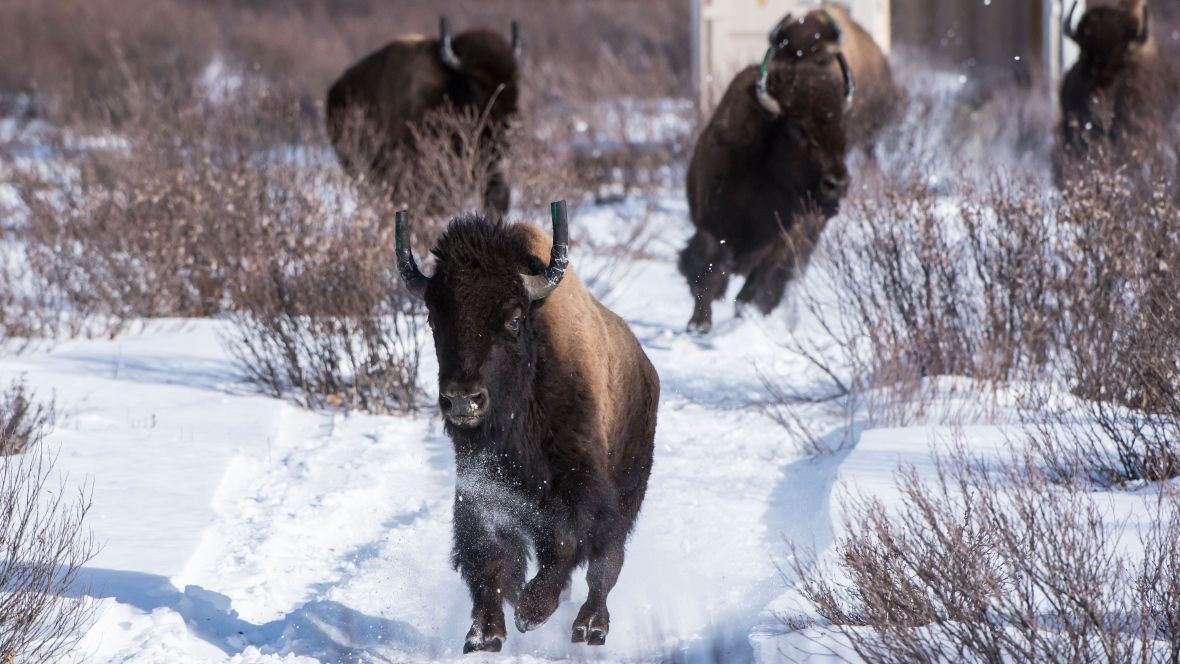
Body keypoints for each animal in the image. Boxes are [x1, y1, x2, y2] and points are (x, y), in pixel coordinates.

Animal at [395, 202, 660, 652]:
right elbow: (487, 553)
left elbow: (568, 543)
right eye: (432, 316)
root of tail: (646, 368)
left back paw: (590, 628)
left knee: (606, 562)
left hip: (628, 489)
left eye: (515, 318)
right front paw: (484, 635)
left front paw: (530, 612)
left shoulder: (578, 484)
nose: (462, 399)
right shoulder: (481, 486)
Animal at [679, 17, 853, 334]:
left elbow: (759, 285)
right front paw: (699, 324)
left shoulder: (785, 239)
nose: (836, 185)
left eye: (841, 125)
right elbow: (705, 271)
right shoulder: (711, 226)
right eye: (798, 128)